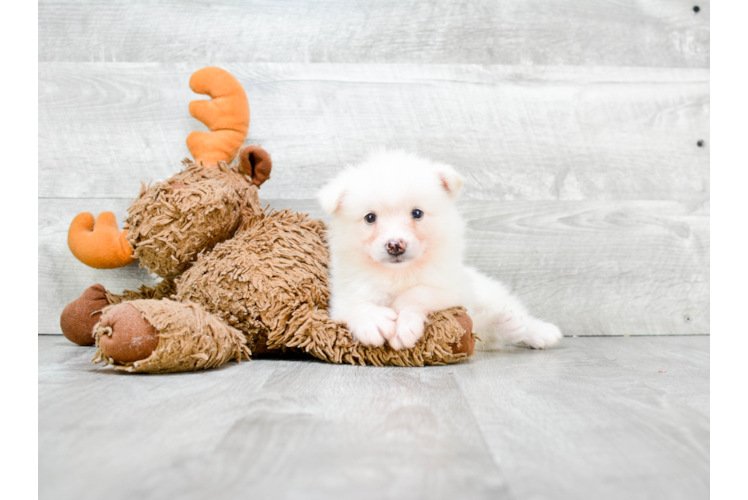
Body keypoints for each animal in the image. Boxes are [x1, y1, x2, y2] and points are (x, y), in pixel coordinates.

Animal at [318, 150, 560, 350]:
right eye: (370, 218)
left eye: (417, 213)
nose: (395, 245)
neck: (398, 274)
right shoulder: (346, 295)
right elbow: (354, 306)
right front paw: (373, 321)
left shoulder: (452, 289)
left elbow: (418, 293)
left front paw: (404, 323)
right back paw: (504, 326)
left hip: (487, 292)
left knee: (512, 314)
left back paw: (539, 331)